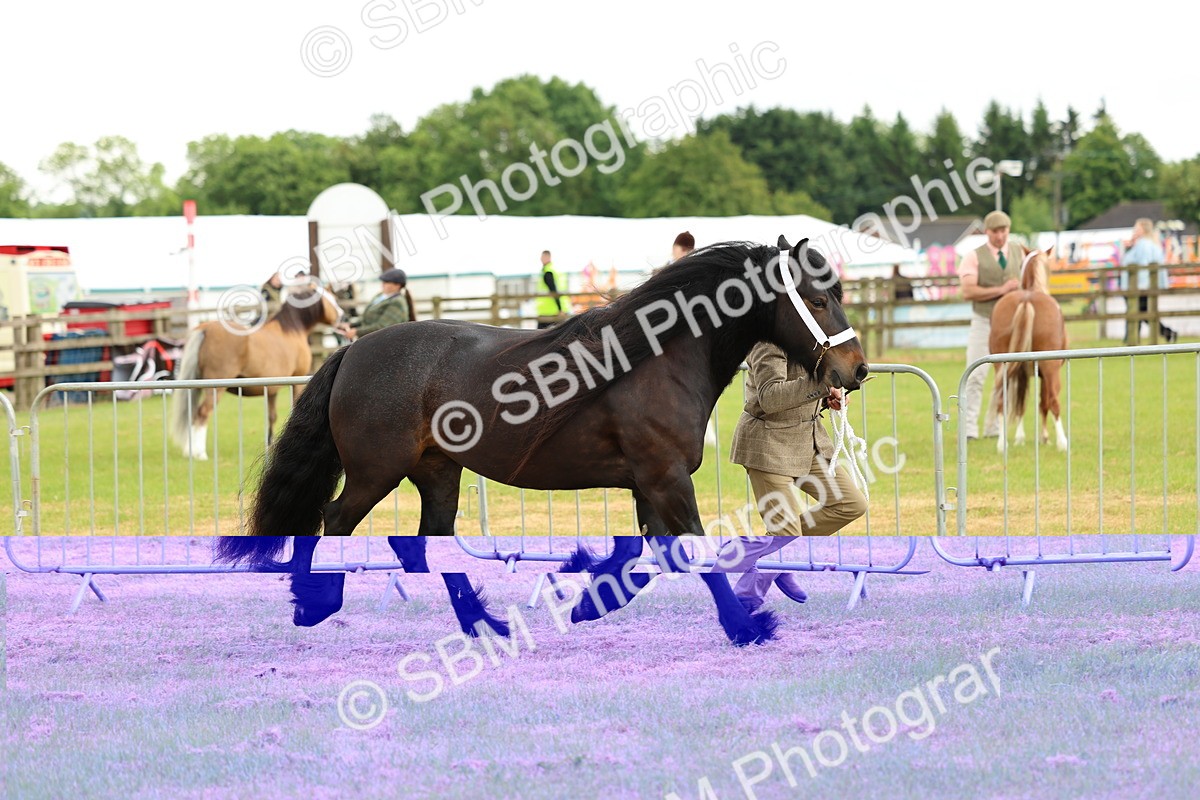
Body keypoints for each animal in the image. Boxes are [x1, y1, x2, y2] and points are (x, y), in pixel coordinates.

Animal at [169, 285, 342, 460]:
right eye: (331, 299)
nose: (342, 314)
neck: (291, 332)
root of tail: (206, 328)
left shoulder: (272, 390)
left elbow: (272, 417)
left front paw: (270, 445)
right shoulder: (295, 382)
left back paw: (189, 450)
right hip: (215, 389)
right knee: (202, 414)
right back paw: (200, 453)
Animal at [214, 237, 869, 647]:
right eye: (816, 298)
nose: (856, 371)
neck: (656, 361)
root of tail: (353, 350)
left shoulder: (647, 485)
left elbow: (644, 559)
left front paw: (588, 601)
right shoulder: (665, 479)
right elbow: (692, 555)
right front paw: (746, 628)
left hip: (437, 474)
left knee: (432, 545)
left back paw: (484, 624)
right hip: (378, 472)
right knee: (333, 520)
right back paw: (314, 603)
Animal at [988, 247, 1069, 454]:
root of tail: (1026, 300)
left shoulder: (1021, 373)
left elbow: (1020, 405)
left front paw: (1019, 438)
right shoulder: (1044, 374)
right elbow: (1043, 403)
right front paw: (1045, 438)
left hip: (1002, 368)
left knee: (1002, 401)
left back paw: (1002, 444)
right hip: (1051, 369)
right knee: (1054, 401)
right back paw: (1062, 443)